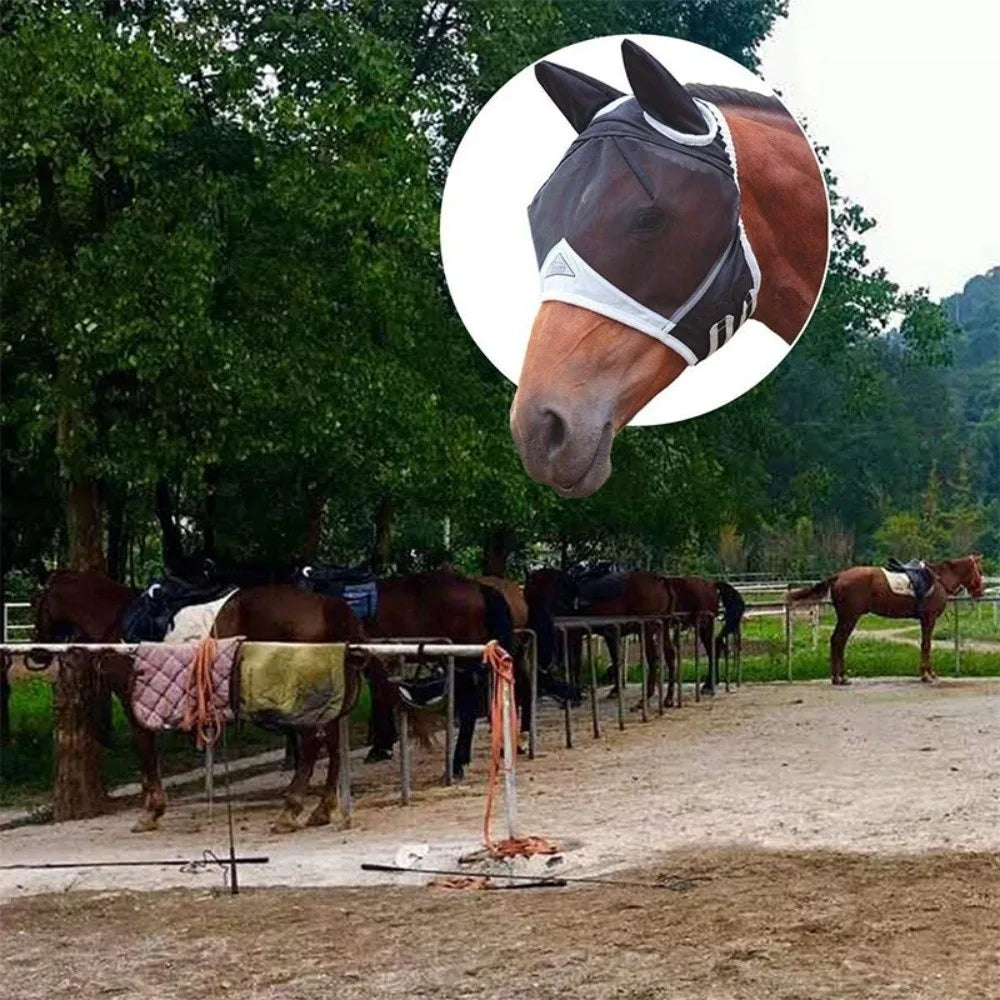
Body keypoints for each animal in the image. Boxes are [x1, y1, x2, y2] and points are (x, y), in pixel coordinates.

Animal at [32, 569, 365, 832]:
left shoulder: (132, 701)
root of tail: (324, 605)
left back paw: (290, 811)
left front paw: (151, 811)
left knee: (311, 744)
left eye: (36, 603)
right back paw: (322, 809)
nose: (37, 654)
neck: (117, 622)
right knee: (331, 743)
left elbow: (145, 751)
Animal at [363, 569, 515, 778]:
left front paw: (381, 746)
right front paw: (382, 746)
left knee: (469, 704)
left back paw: (458, 763)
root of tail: (478, 587)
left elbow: (379, 696)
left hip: (462, 658)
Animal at [785, 555, 985, 684]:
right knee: (838, 641)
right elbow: (926, 645)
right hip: (849, 618)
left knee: (837, 642)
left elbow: (924, 645)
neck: (938, 580)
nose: (980, 592)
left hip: (845, 618)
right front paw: (927, 675)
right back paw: (840, 677)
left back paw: (839, 677)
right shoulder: (929, 619)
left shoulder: (924, 620)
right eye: (979, 570)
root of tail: (839, 576)